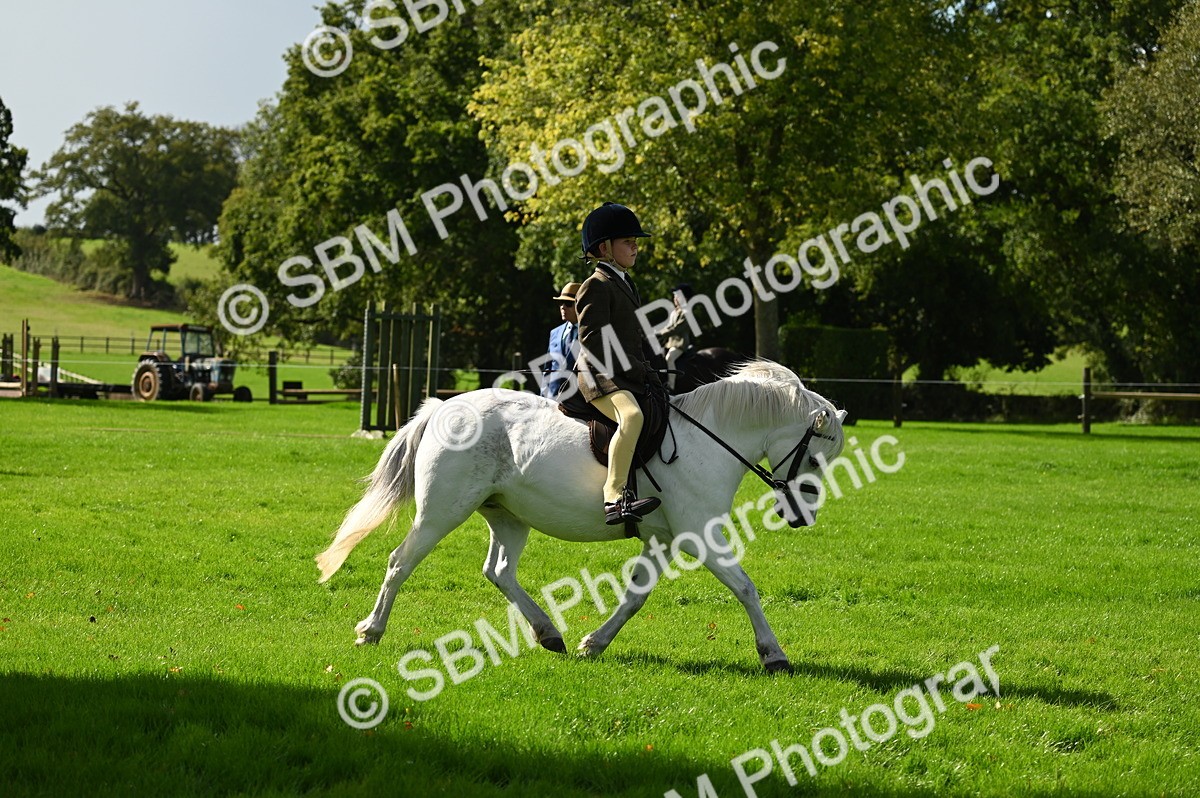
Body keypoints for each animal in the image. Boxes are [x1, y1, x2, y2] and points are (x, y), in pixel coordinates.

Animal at [316, 360, 847, 673]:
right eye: (816, 458)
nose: (802, 516)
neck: (709, 439)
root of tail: (445, 406)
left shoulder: (665, 539)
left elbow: (635, 597)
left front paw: (595, 643)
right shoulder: (702, 535)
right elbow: (745, 588)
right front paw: (774, 654)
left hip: (508, 515)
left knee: (499, 571)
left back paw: (549, 634)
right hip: (442, 511)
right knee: (400, 563)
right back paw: (371, 631)